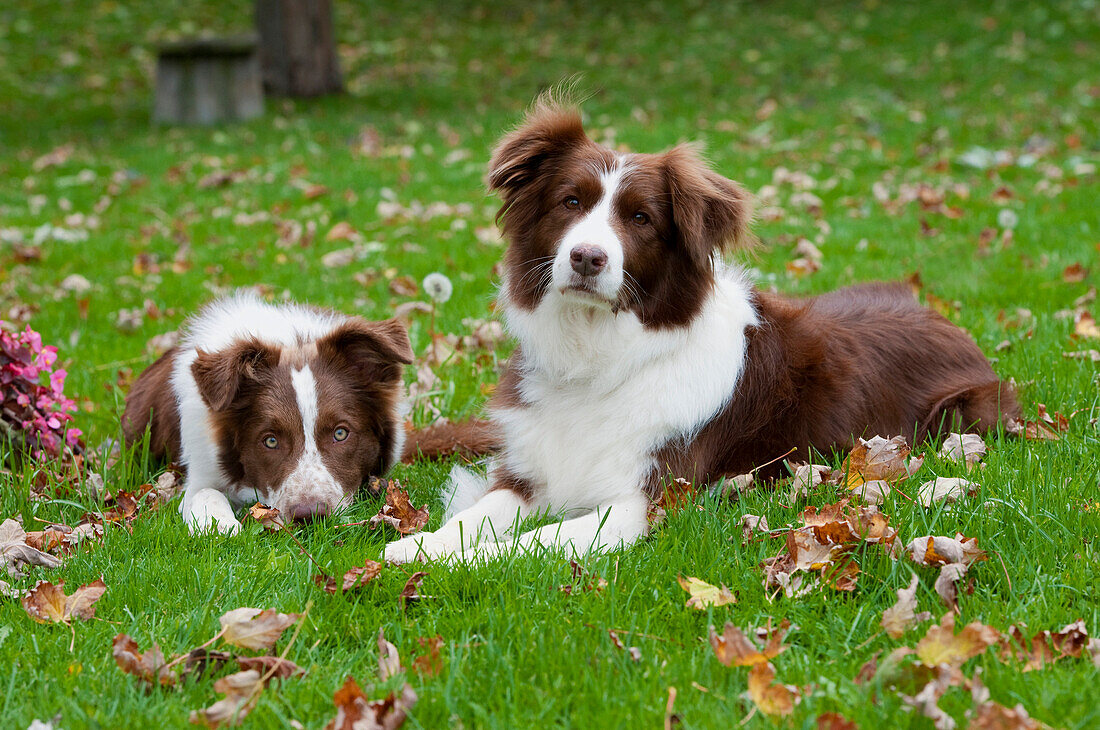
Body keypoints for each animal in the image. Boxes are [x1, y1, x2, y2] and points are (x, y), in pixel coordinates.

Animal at [121, 290, 413, 536]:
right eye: (270, 440)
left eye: (341, 433)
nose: (310, 516)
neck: (292, 341)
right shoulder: (202, 470)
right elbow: (205, 492)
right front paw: (219, 525)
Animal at [382, 98, 1016, 562]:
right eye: (570, 202)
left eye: (640, 218)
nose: (587, 258)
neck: (599, 360)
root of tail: (940, 314)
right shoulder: (529, 472)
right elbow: (476, 516)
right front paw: (416, 547)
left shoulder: (643, 503)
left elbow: (529, 543)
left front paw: (455, 562)